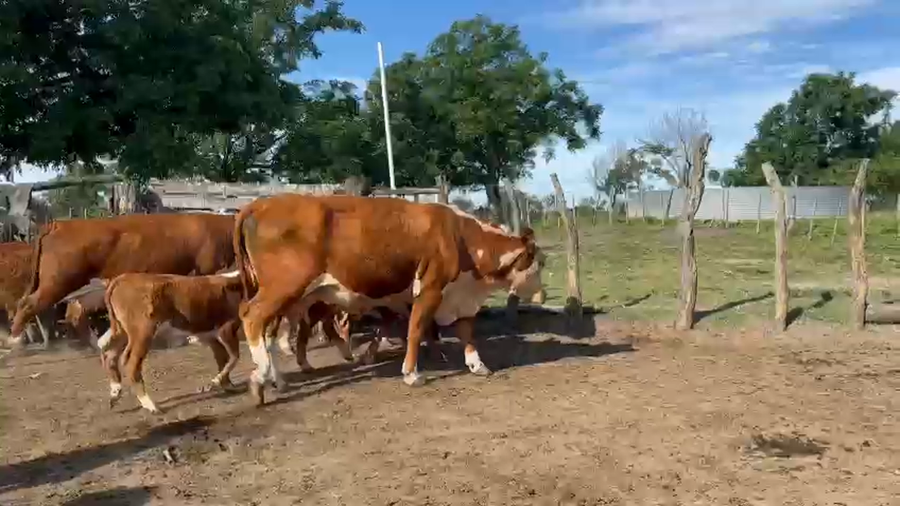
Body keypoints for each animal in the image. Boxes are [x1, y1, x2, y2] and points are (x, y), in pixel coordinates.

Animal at [7, 212, 236, 347]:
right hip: (57, 282)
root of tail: (58, 225)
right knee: (29, 304)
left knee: (73, 311)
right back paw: (15, 339)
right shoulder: (207, 270)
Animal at [101, 271, 247, 413]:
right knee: (131, 363)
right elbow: (234, 357)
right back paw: (150, 405)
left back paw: (115, 392)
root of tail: (123, 277)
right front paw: (218, 381)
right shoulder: (226, 329)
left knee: (109, 355)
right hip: (142, 332)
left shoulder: (213, 337)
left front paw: (227, 385)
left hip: (122, 332)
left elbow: (223, 359)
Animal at [234, 194, 545, 406]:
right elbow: (415, 330)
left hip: (291, 296)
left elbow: (466, 330)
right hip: (283, 288)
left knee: (268, 333)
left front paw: (477, 365)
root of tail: (261, 204)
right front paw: (411, 373)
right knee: (251, 316)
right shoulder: (429, 290)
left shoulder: (458, 295)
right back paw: (259, 378)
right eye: (539, 263)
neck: (460, 237)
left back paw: (277, 380)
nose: (542, 295)